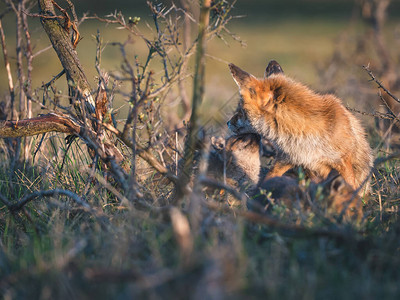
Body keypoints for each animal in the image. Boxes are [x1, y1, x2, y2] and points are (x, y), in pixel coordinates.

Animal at [227, 60, 374, 195]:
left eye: (240, 111)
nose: (227, 123)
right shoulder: (286, 159)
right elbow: (268, 178)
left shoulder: (342, 161)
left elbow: (350, 187)